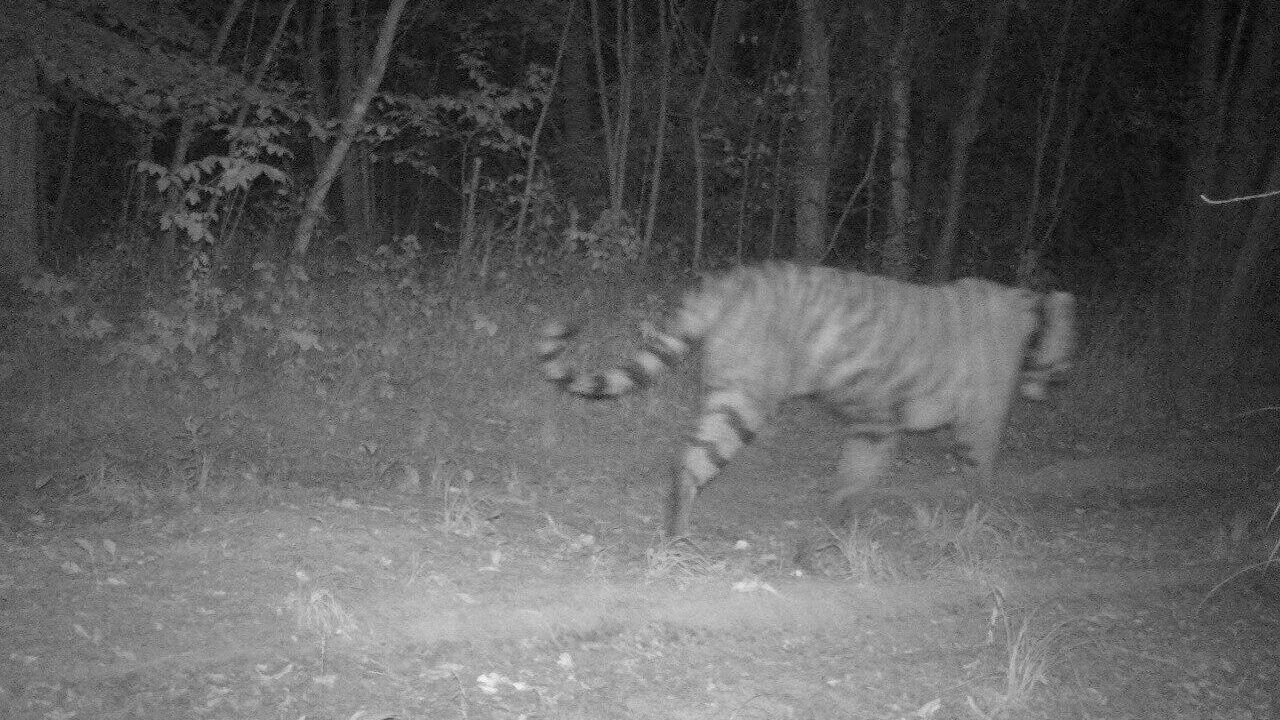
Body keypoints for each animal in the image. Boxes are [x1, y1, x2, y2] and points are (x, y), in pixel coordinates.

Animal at [535, 260, 1075, 535]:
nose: (1063, 381)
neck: (1030, 320)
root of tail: (729, 281)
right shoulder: (975, 420)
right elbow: (977, 473)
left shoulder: (877, 418)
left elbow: (858, 473)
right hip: (745, 402)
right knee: (695, 463)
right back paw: (680, 536)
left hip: (730, 394)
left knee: (684, 463)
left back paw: (677, 530)